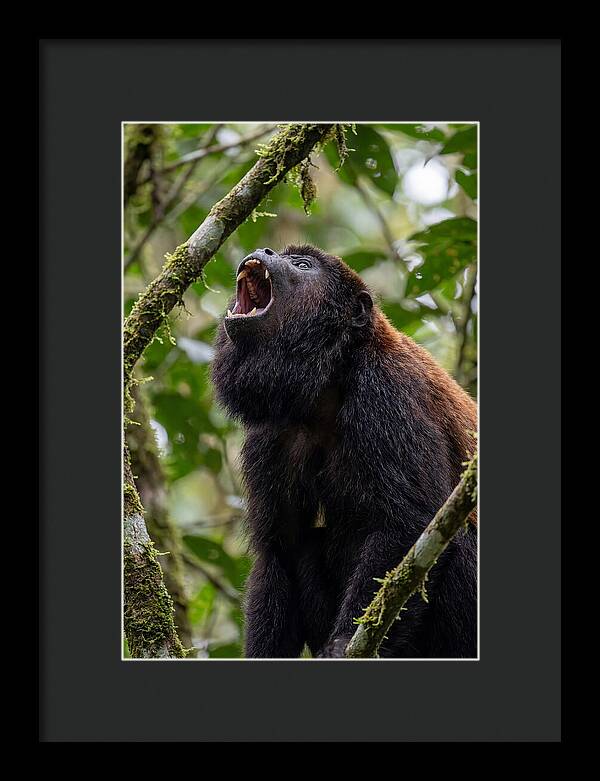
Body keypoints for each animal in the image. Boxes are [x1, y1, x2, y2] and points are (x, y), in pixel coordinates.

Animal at [211, 245, 477, 658]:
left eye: (302, 265)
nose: (265, 250)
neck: (330, 380)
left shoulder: (386, 392)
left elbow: (410, 522)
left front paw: (341, 643)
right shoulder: (270, 434)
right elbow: (279, 550)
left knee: (460, 536)